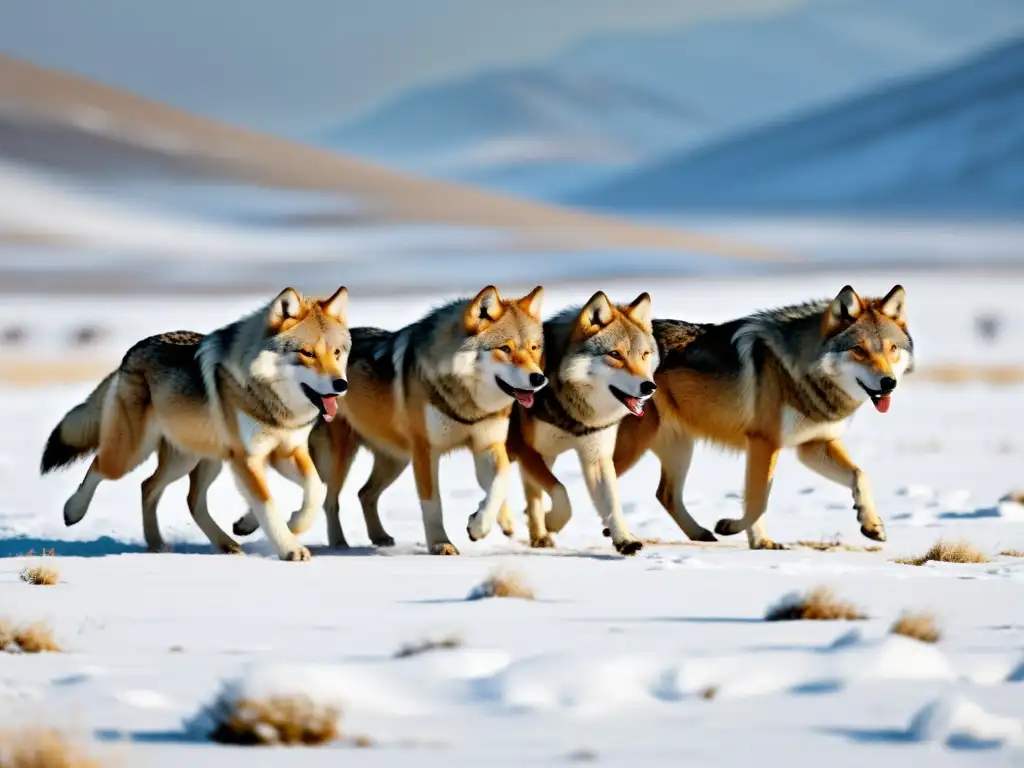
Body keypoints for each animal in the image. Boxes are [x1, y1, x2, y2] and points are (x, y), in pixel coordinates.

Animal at [41, 288, 352, 565]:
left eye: (337, 353)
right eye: (307, 353)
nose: (341, 385)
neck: (273, 404)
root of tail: (130, 354)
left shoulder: (286, 452)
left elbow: (316, 489)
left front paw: (288, 524)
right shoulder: (248, 459)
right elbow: (268, 505)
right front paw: (290, 548)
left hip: (197, 460)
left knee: (165, 491)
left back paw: (181, 544)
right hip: (132, 455)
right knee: (100, 467)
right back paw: (73, 512)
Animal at [234, 286, 552, 557]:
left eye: (534, 348)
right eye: (506, 349)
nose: (539, 379)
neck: (467, 403)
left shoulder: (488, 446)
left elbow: (499, 484)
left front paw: (478, 526)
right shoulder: (425, 452)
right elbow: (433, 503)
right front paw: (441, 544)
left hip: (395, 458)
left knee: (363, 493)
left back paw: (378, 537)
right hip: (339, 457)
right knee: (327, 497)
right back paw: (335, 543)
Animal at [501, 290, 659, 552]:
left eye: (644, 355)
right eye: (615, 354)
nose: (649, 387)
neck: (575, 413)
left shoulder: (596, 458)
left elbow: (612, 503)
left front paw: (625, 540)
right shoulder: (529, 451)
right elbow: (561, 492)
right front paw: (552, 521)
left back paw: (536, 535)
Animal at [610, 286, 917, 548]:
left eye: (891, 349)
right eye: (859, 350)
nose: (888, 383)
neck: (798, 373)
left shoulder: (814, 445)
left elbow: (861, 475)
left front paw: (872, 525)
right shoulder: (764, 443)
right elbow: (758, 501)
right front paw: (754, 538)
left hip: (680, 448)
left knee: (666, 494)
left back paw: (700, 534)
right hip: (635, 447)